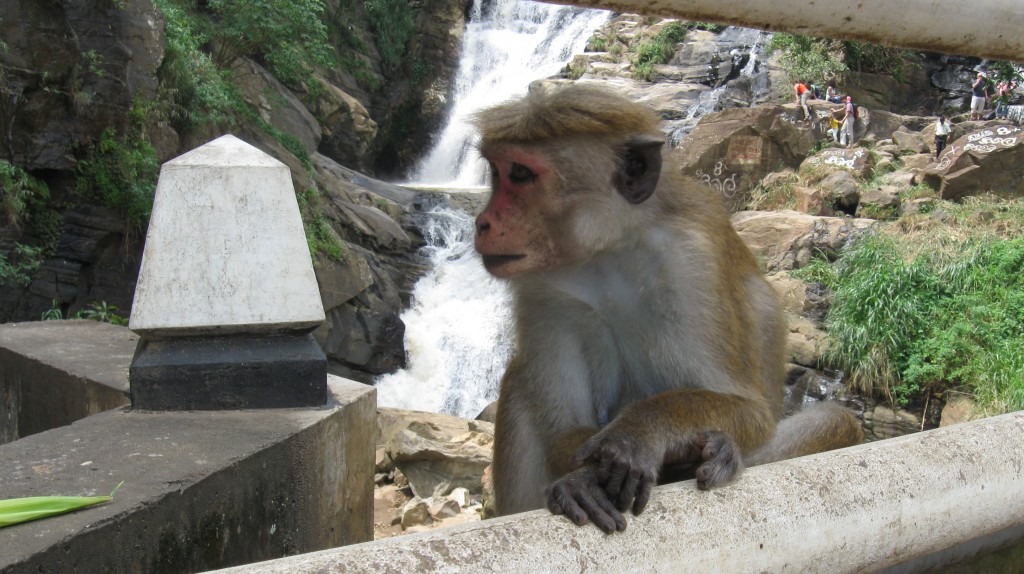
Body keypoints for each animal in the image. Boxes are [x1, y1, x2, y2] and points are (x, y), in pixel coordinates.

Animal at [472, 82, 864, 534]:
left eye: (520, 174)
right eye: (496, 172)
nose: (481, 222)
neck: (608, 250)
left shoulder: (692, 262)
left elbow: (751, 413)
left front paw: (639, 433)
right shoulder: (542, 289)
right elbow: (563, 427)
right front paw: (585, 478)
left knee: (834, 420)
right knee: (519, 382)